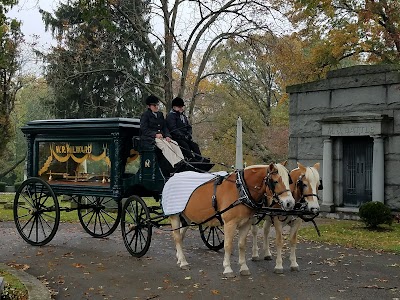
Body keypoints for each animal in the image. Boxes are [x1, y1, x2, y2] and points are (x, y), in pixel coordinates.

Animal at [167, 163, 296, 278]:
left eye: (289, 180)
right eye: (275, 181)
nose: (290, 203)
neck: (241, 190)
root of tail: (172, 177)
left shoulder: (246, 223)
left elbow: (242, 245)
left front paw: (243, 267)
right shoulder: (230, 223)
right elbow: (228, 245)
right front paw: (227, 269)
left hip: (187, 218)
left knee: (181, 236)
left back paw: (179, 258)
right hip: (174, 215)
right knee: (177, 237)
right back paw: (183, 262)